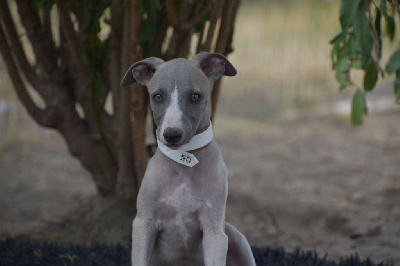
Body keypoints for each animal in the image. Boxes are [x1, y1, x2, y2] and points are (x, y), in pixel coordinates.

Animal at [120, 51, 256, 264]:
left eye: (195, 96)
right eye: (157, 96)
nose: (171, 134)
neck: (182, 162)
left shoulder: (214, 231)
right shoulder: (144, 224)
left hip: (234, 235)